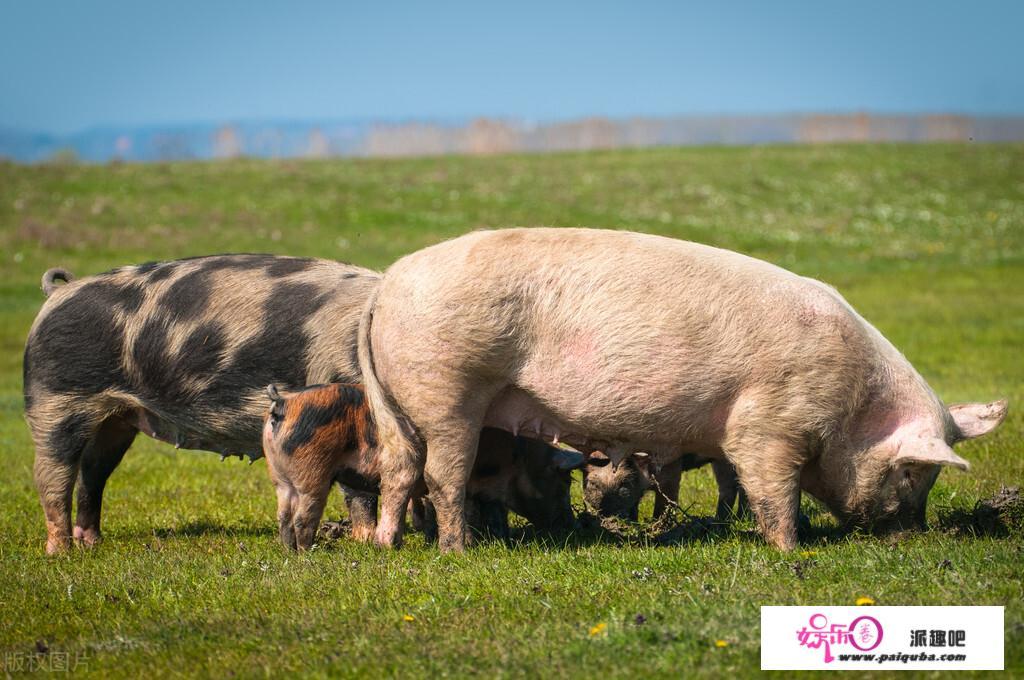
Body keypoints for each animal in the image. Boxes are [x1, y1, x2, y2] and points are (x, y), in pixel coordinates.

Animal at [25, 253, 382, 553]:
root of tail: (58, 293)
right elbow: (359, 490)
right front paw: (367, 542)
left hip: (117, 419)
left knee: (93, 472)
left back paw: (91, 543)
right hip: (55, 400)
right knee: (52, 475)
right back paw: (61, 552)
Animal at [262, 383, 593, 548]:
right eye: (564, 482)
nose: (574, 525)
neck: (518, 454)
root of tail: (282, 404)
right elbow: (469, 509)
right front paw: (474, 542)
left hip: (281, 479)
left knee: (283, 516)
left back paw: (290, 550)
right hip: (312, 474)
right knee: (303, 516)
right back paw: (310, 550)